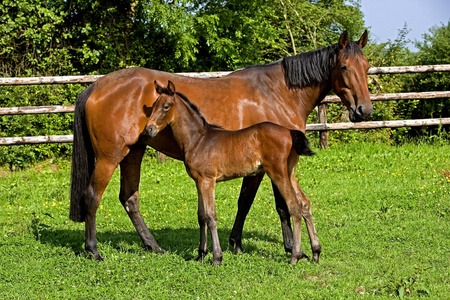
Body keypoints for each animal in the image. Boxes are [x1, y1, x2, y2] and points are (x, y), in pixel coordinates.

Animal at [147, 81, 320, 264]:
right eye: (154, 105)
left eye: (166, 106)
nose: (149, 129)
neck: (198, 139)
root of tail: (289, 132)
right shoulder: (198, 181)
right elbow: (201, 216)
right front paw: (201, 254)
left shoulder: (208, 180)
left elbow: (211, 216)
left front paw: (217, 257)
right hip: (290, 172)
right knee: (305, 203)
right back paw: (315, 253)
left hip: (277, 173)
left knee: (294, 205)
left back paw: (295, 255)